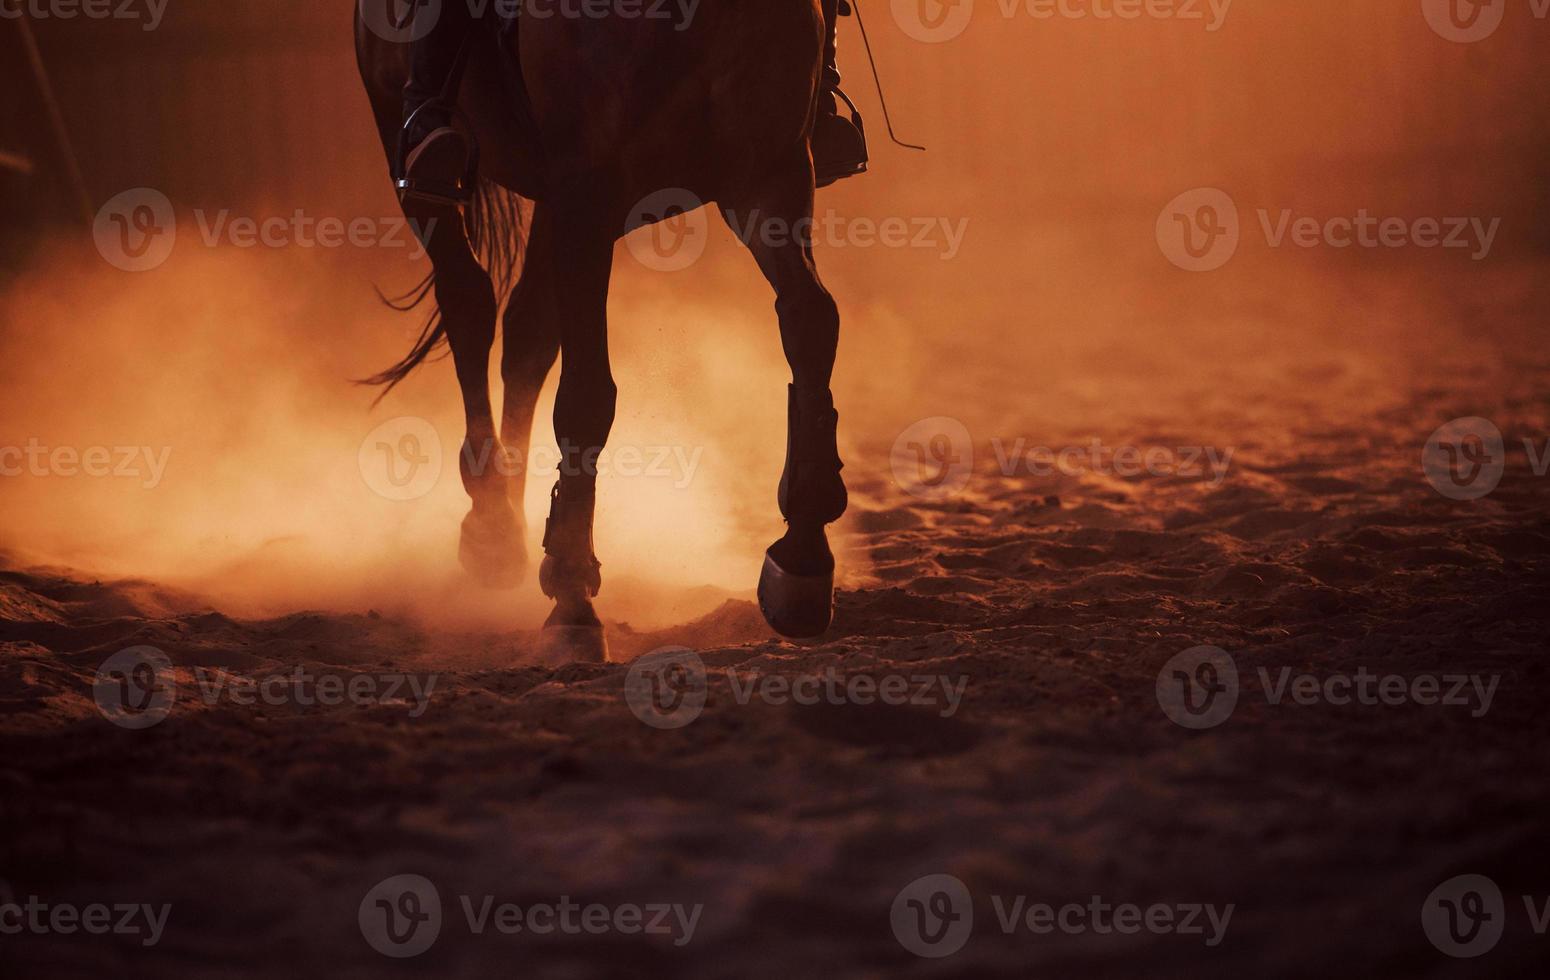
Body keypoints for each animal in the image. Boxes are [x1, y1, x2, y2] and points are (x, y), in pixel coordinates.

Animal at [354, 0, 849, 663]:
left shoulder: (770, 177)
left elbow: (811, 323)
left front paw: (801, 560)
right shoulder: (587, 195)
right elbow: (587, 394)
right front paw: (571, 594)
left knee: (529, 332)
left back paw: (509, 517)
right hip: (411, 158)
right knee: (470, 307)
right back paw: (489, 524)